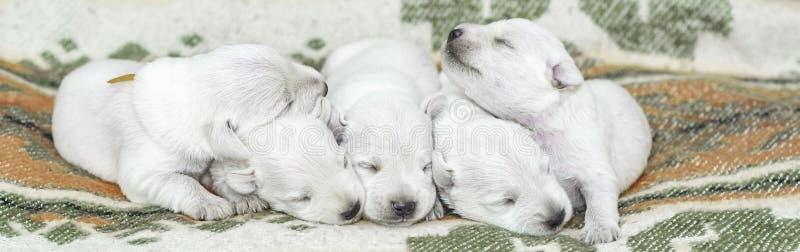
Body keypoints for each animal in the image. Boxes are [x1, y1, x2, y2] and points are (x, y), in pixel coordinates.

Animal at [52, 44, 328, 220]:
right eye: (286, 104)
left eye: (287, 60)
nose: (325, 86)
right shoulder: (144, 173)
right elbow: (181, 181)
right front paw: (211, 203)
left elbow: (220, 176)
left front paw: (244, 197)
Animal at [208, 107, 368, 223]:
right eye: (301, 198)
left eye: (345, 162)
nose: (353, 209)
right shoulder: (225, 159)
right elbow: (222, 179)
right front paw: (248, 200)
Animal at [440, 18, 652, 243]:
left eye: (504, 42)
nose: (454, 32)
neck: (540, 120)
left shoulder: (592, 163)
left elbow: (600, 195)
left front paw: (599, 229)